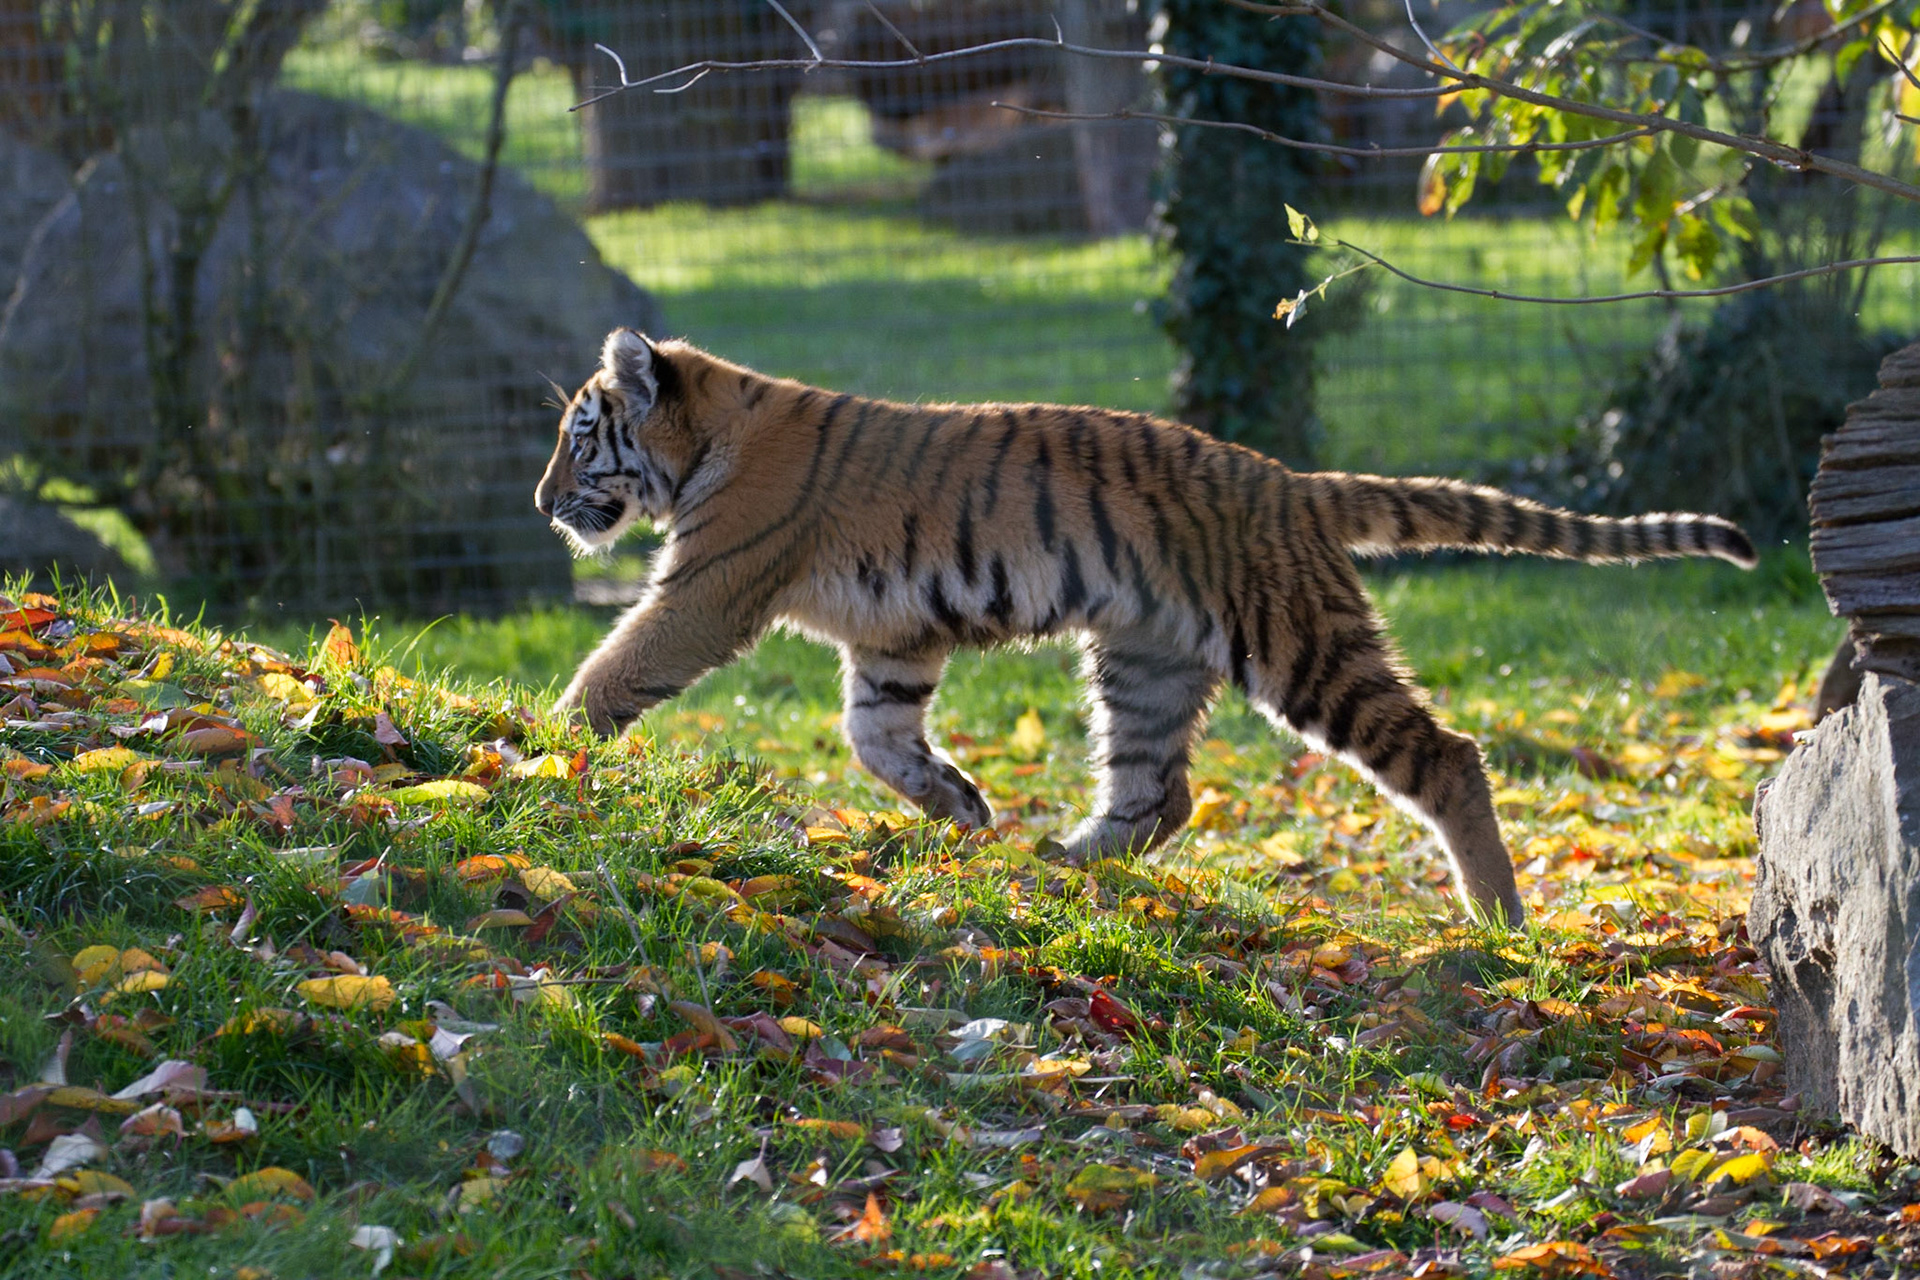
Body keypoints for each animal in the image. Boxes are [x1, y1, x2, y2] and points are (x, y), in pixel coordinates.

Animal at [536, 329, 1756, 925]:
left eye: (580, 434)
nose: (544, 503)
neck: (705, 437)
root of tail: (1296, 483)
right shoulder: (895, 638)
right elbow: (875, 736)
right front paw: (962, 806)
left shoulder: (710, 587)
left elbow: (617, 665)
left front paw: (542, 745)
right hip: (1145, 662)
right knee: (1159, 793)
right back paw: (1057, 860)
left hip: (1301, 646)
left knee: (1446, 754)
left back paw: (1500, 919)